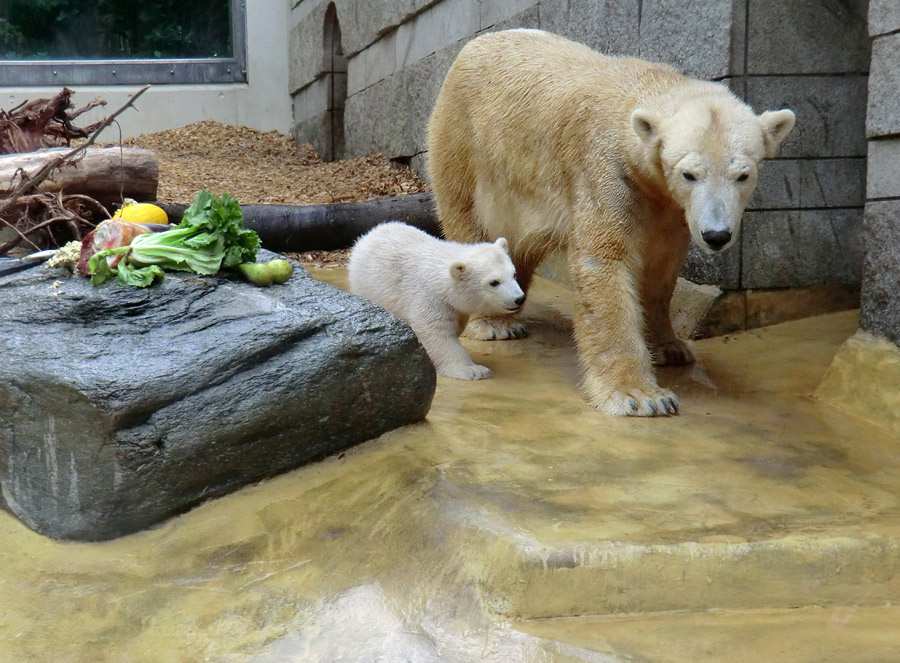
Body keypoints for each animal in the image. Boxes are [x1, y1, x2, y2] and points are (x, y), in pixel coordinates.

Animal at [428, 31, 796, 418]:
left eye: (743, 175)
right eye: (689, 173)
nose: (716, 235)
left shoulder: (669, 208)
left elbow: (661, 269)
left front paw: (671, 347)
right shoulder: (608, 172)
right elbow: (605, 262)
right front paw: (641, 395)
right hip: (465, 144)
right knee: (469, 220)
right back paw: (494, 323)